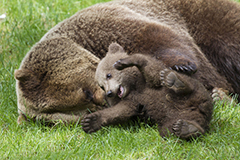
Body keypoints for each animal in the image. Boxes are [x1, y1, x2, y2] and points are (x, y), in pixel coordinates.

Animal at [15, 0, 239, 124]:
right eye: (83, 110)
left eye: (86, 94)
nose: (104, 98)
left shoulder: (108, 26)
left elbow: (161, 40)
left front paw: (182, 68)